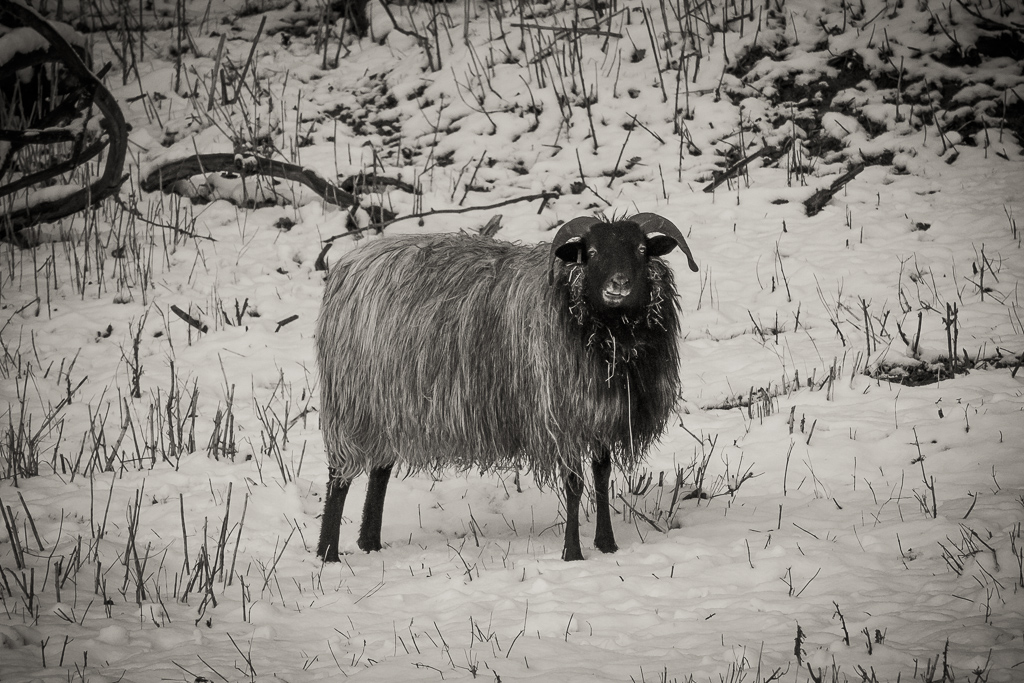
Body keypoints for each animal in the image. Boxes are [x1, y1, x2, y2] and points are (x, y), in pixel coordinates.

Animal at [315, 213, 698, 562]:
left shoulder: (603, 413)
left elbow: (602, 477)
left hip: (388, 402)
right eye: (590, 252)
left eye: (642, 249)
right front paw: (572, 553)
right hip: (351, 401)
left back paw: (369, 542)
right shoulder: (561, 417)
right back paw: (328, 553)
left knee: (380, 471)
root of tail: (351, 262)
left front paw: (607, 545)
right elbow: (574, 485)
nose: (618, 284)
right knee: (338, 475)